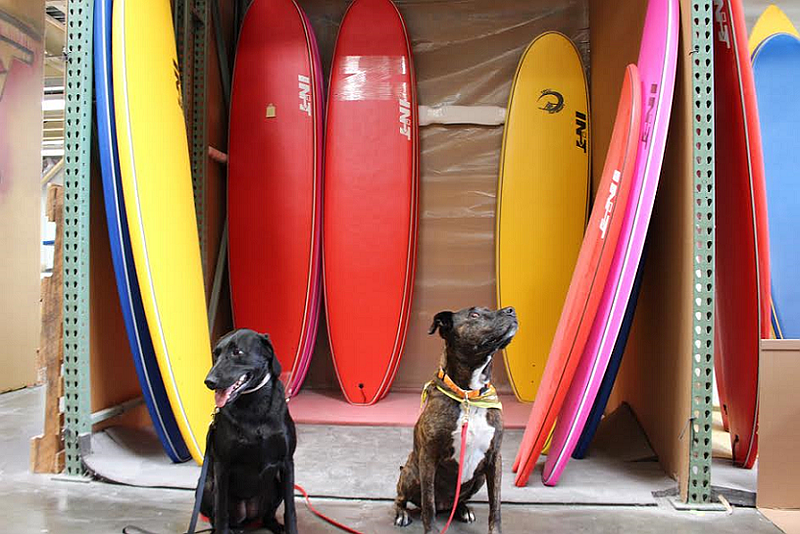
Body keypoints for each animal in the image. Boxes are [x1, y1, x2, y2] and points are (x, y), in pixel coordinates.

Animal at [203, 330, 296, 534]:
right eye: (216, 354)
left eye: (237, 352)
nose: (209, 382)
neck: (254, 404)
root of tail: (249, 517)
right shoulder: (222, 466)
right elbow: (221, 513)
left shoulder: (287, 463)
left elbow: (290, 510)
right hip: (207, 487)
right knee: (218, 517)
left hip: (276, 485)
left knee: (268, 516)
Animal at [396, 308, 520, 534]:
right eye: (474, 315)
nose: (510, 310)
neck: (468, 395)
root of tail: (445, 505)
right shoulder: (428, 458)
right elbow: (428, 506)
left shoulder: (494, 458)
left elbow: (495, 506)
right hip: (411, 473)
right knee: (403, 498)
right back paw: (401, 513)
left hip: (479, 478)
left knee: (459, 499)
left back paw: (463, 509)